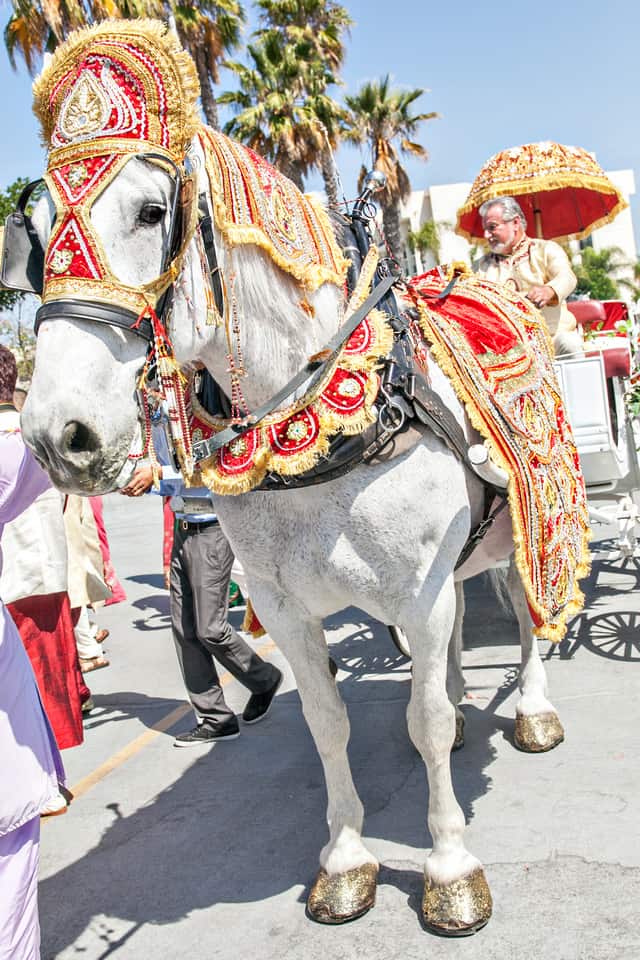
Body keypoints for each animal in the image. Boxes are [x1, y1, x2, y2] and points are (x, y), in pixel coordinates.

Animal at [20, 139, 564, 932]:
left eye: (151, 212)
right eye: (34, 236)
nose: (58, 437)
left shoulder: (418, 590)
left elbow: (424, 720)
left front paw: (449, 867)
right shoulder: (285, 607)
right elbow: (327, 721)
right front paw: (345, 862)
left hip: (524, 527)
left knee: (525, 617)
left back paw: (532, 710)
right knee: (463, 617)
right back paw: (467, 698)